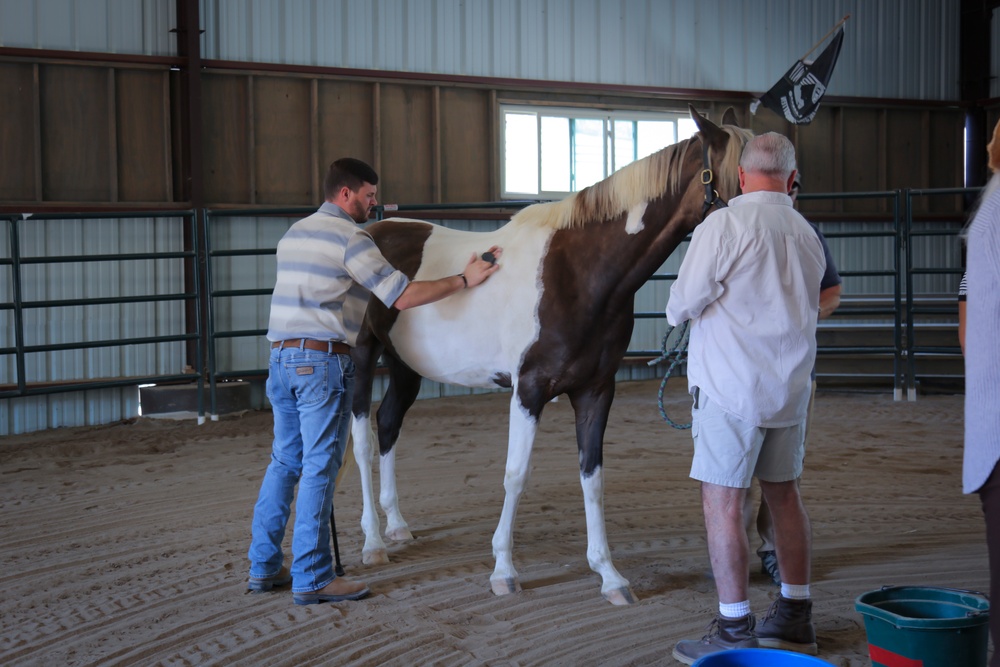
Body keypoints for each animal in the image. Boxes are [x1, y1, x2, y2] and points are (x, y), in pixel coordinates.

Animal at [352, 105, 752, 604]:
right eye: (742, 171)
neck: (579, 274)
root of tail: (372, 230)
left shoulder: (596, 391)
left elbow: (593, 477)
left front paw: (610, 575)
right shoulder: (529, 389)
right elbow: (516, 475)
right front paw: (504, 570)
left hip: (405, 366)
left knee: (388, 424)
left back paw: (398, 526)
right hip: (362, 356)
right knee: (362, 438)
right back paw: (372, 543)